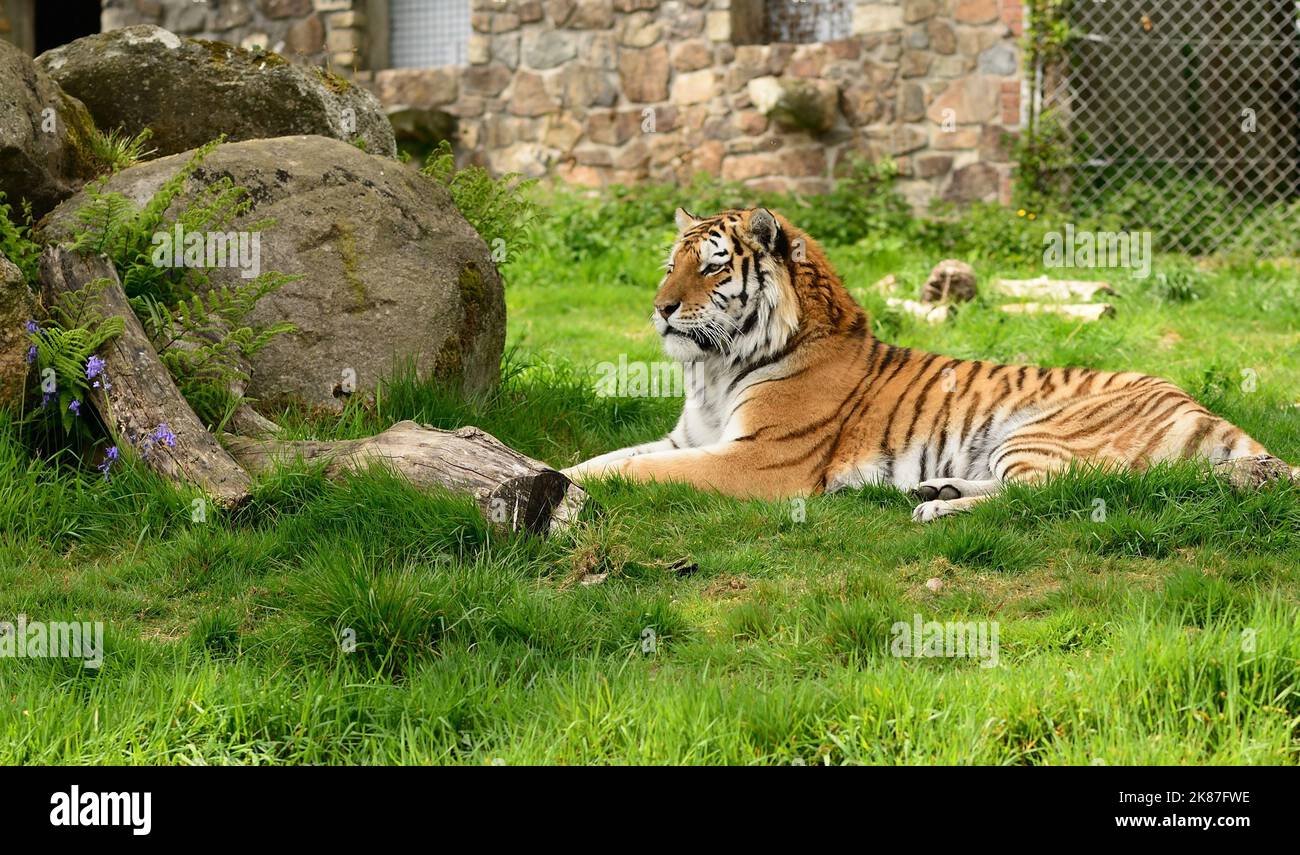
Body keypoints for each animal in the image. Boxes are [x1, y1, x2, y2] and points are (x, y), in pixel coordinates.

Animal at [562, 207, 1297, 521]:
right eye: (672, 264)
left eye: (713, 267)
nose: (659, 309)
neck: (713, 371)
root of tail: (1201, 406)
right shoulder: (687, 436)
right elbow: (608, 456)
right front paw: (556, 472)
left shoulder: (757, 459)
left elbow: (639, 472)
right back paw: (933, 490)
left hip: (1036, 434)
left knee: (1048, 497)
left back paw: (936, 510)